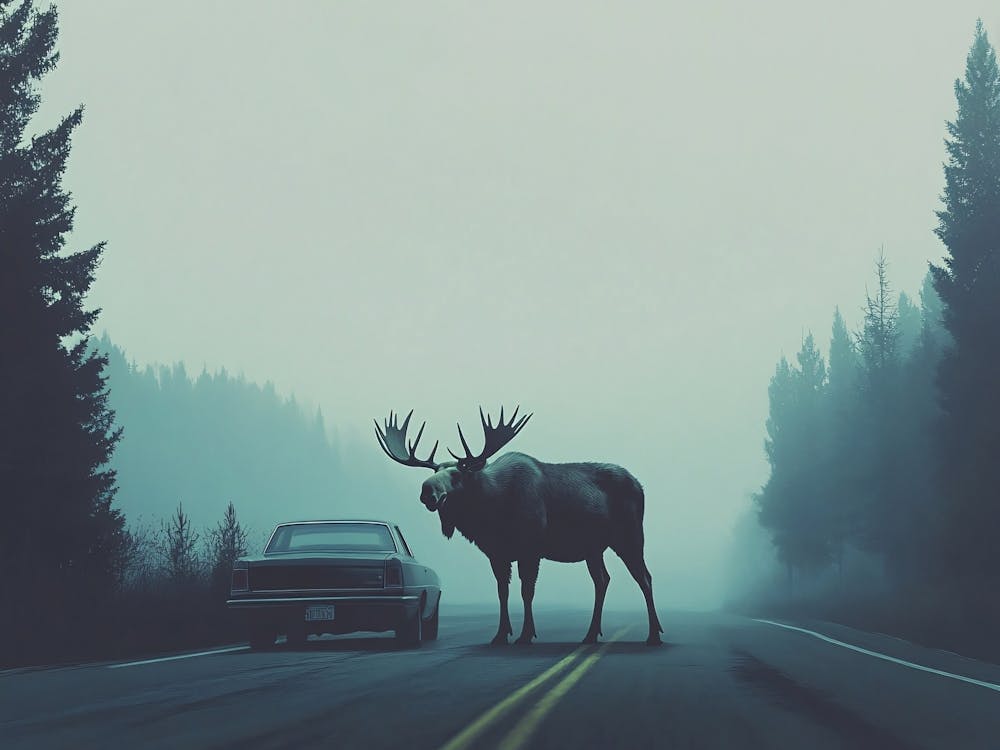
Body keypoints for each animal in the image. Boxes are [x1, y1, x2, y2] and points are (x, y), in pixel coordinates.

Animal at [374, 407, 663, 646]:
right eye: (433, 472)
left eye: (457, 474)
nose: (427, 491)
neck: (492, 512)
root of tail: (640, 485)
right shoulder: (497, 553)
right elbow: (502, 592)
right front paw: (501, 635)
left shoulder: (531, 549)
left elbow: (527, 591)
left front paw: (526, 635)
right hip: (594, 549)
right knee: (602, 580)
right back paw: (591, 634)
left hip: (630, 536)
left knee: (644, 577)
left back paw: (654, 634)